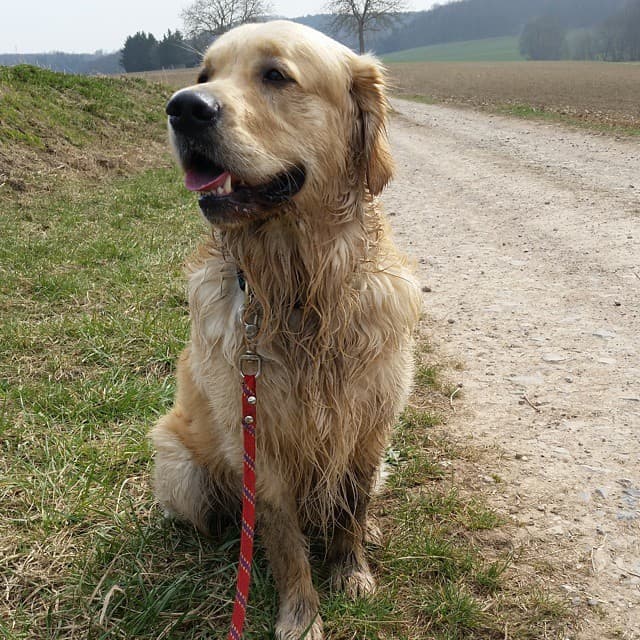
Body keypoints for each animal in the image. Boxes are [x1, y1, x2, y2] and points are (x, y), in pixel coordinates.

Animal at [150, 20, 420, 640]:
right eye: (204, 74)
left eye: (275, 75)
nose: (184, 107)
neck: (301, 288)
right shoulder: (261, 439)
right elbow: (283, 539)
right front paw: (301, 614)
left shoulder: (371, 422)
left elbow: (352, 504)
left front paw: (351, 570)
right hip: (180, 466)